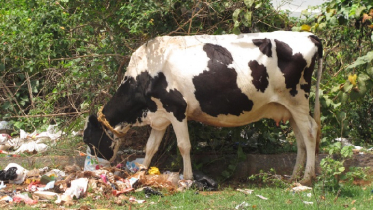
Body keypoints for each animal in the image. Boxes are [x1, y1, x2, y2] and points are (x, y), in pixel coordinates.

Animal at [83, 31, 322, 185]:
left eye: (88, 139)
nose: (90, 169)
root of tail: (309, 35)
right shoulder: (160, 116)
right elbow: (151, 147)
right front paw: (141, 172)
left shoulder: (177, 109)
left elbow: (184, 146)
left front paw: (187, 178)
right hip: (288, 107)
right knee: (300, 138)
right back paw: (294, 176)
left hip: (297, 99)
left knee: (310, 132)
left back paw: (307, 177)